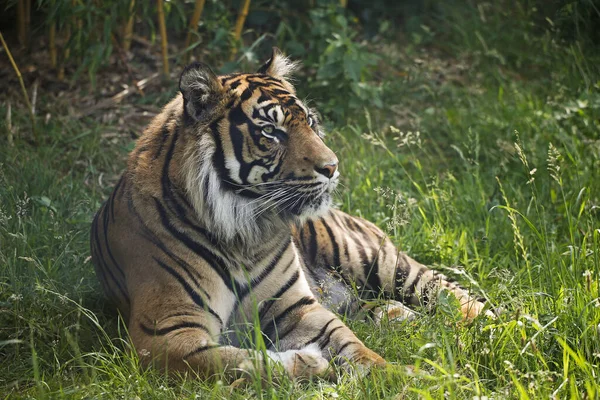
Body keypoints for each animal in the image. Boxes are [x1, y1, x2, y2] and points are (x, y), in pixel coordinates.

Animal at [90, 47, 492, 382]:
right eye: (271, 131)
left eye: (310, 121)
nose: (332, 166)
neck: (243, 229)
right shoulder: (165, 332)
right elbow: (235, 361)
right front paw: (308, 362)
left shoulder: (294, 307)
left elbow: (352, 345)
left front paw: (396, 375)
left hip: (380, 262)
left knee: (451, 294)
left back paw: (498, 331)